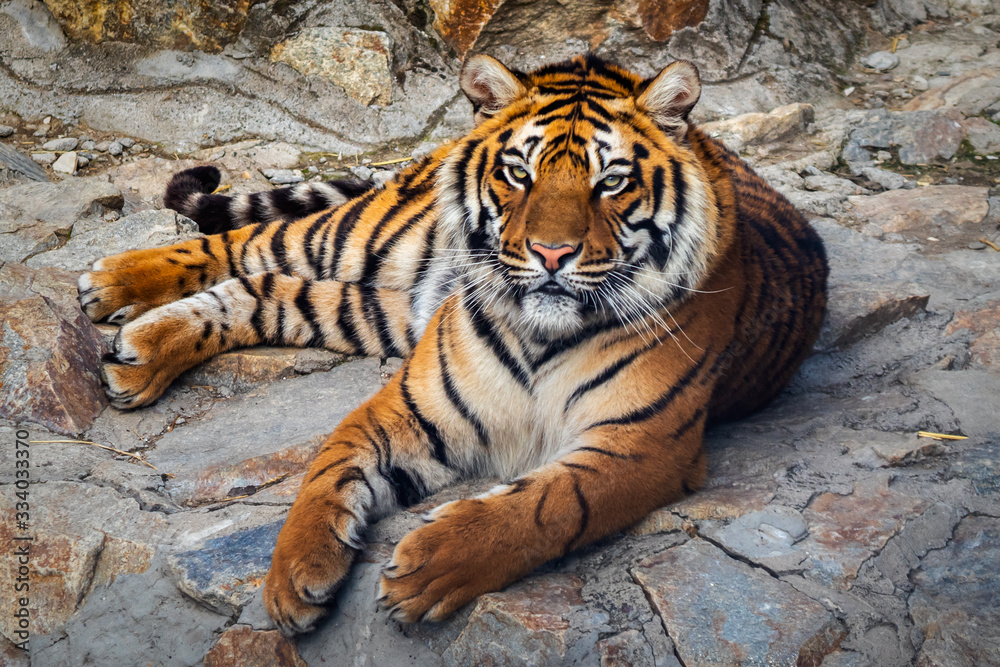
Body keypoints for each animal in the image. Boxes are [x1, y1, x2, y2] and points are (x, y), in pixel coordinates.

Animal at [77, 53, 828, 635]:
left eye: (610, 181)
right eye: (520, 173)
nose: (551, 254)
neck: (539, 333)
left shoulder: (638, 446)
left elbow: (544, 506)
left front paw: (429, 568)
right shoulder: (408, 407)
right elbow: (325, 472)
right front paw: (292, 576)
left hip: (372, 308)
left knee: (261, 288)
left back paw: (141, 350)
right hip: (358, 236)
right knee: (243, 243)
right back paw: (113, 282)